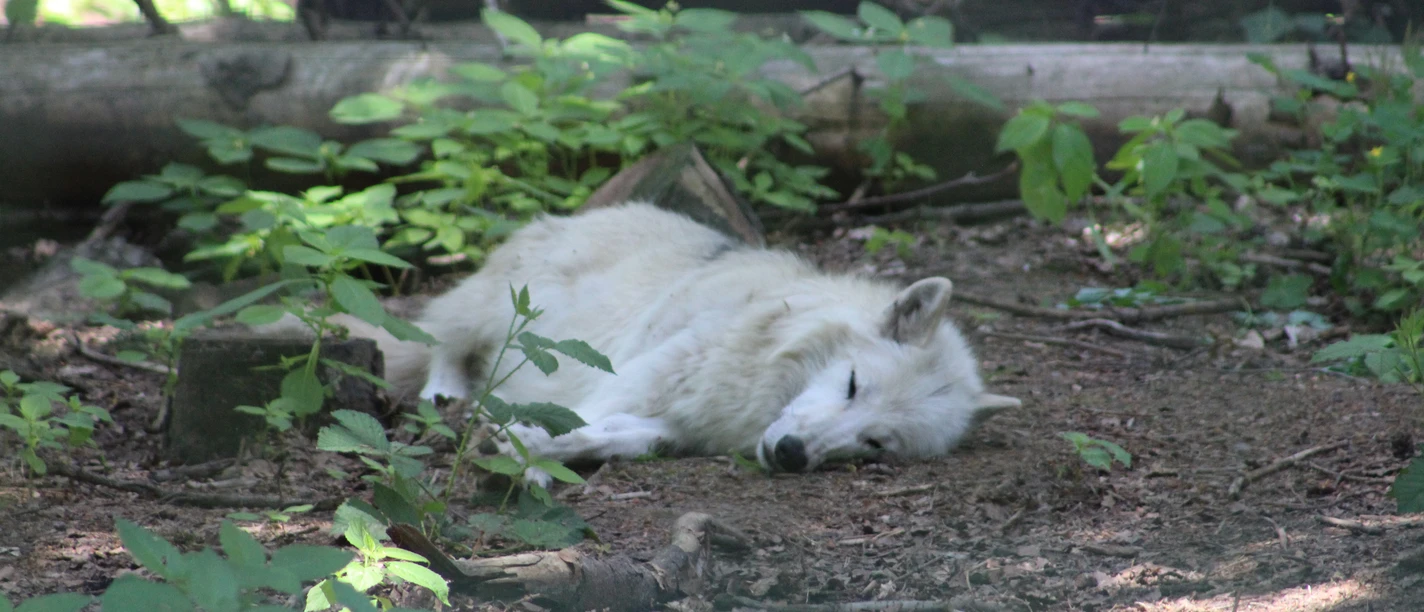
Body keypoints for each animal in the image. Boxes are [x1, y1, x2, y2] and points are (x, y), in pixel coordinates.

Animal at [352, 202, 1020, 483]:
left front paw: (549, 451)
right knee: (440, 340)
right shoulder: (638, 376)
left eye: (877, 443)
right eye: (854, 384)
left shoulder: (684, 424)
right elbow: (579, 418)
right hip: (495, 311)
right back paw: (444, 394)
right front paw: (528, 462)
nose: (792, 455)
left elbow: (628, 439)